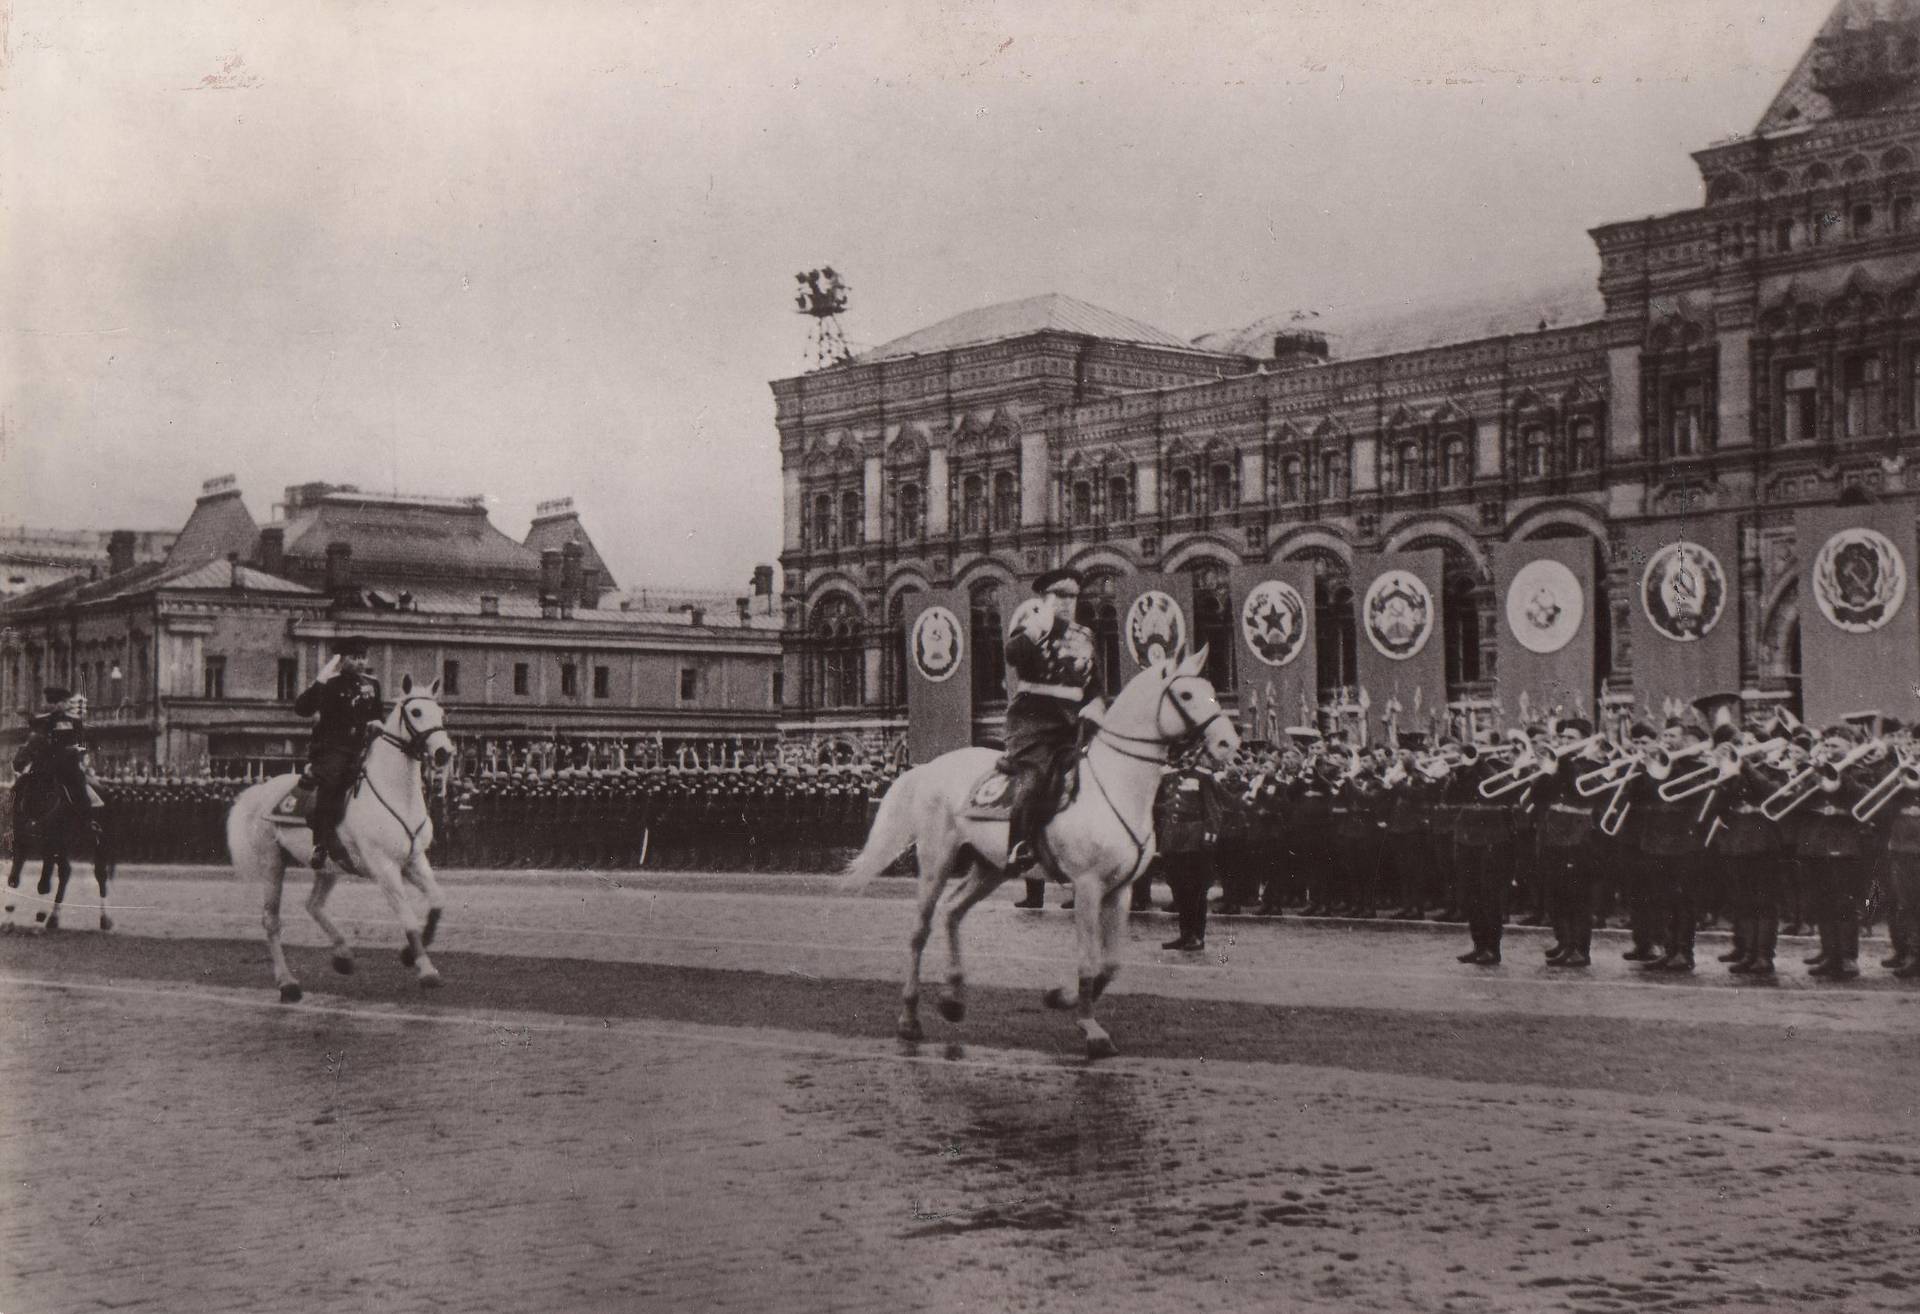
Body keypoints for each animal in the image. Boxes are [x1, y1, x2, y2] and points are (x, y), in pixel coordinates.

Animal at [4, 768, 113, 933]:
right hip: (62, 849)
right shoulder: (21, 844)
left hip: (98, 845)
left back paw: (104, 919)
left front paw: (39, 920)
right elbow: (13, 881)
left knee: (100, 876)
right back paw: (54, 918)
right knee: (65, 872)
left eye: (50, 796)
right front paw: (8, 919)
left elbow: (43, 886)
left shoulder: (49, 846)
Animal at [223, 672, 453, 998]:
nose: (444, 753)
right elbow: (407, 917)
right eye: (417, 712)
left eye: (442, 713)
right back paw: (287, 983)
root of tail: (261, 789)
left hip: (328, 866)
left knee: (313, 905)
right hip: (273, 864)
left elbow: (437, 901)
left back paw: (342, 955)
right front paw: (426, 969)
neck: (397, 794)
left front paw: (410, 953)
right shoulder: (384, 867)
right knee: (271, 920)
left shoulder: (415, 860)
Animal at [844, 645, 1236, 1060]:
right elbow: (1088, 960)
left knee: (952, 912)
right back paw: (909, 1018)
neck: (1115, 785)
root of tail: (930, 766)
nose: (1229, 744)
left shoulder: (1121, 890)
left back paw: (953, 999)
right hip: (937, 858)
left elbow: (1110, 964)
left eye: (1212, 689)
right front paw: (1091, 1028)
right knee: (920, 930)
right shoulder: (1088, 886)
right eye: (1187, 694)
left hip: (991, 867)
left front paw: (1060, 997)